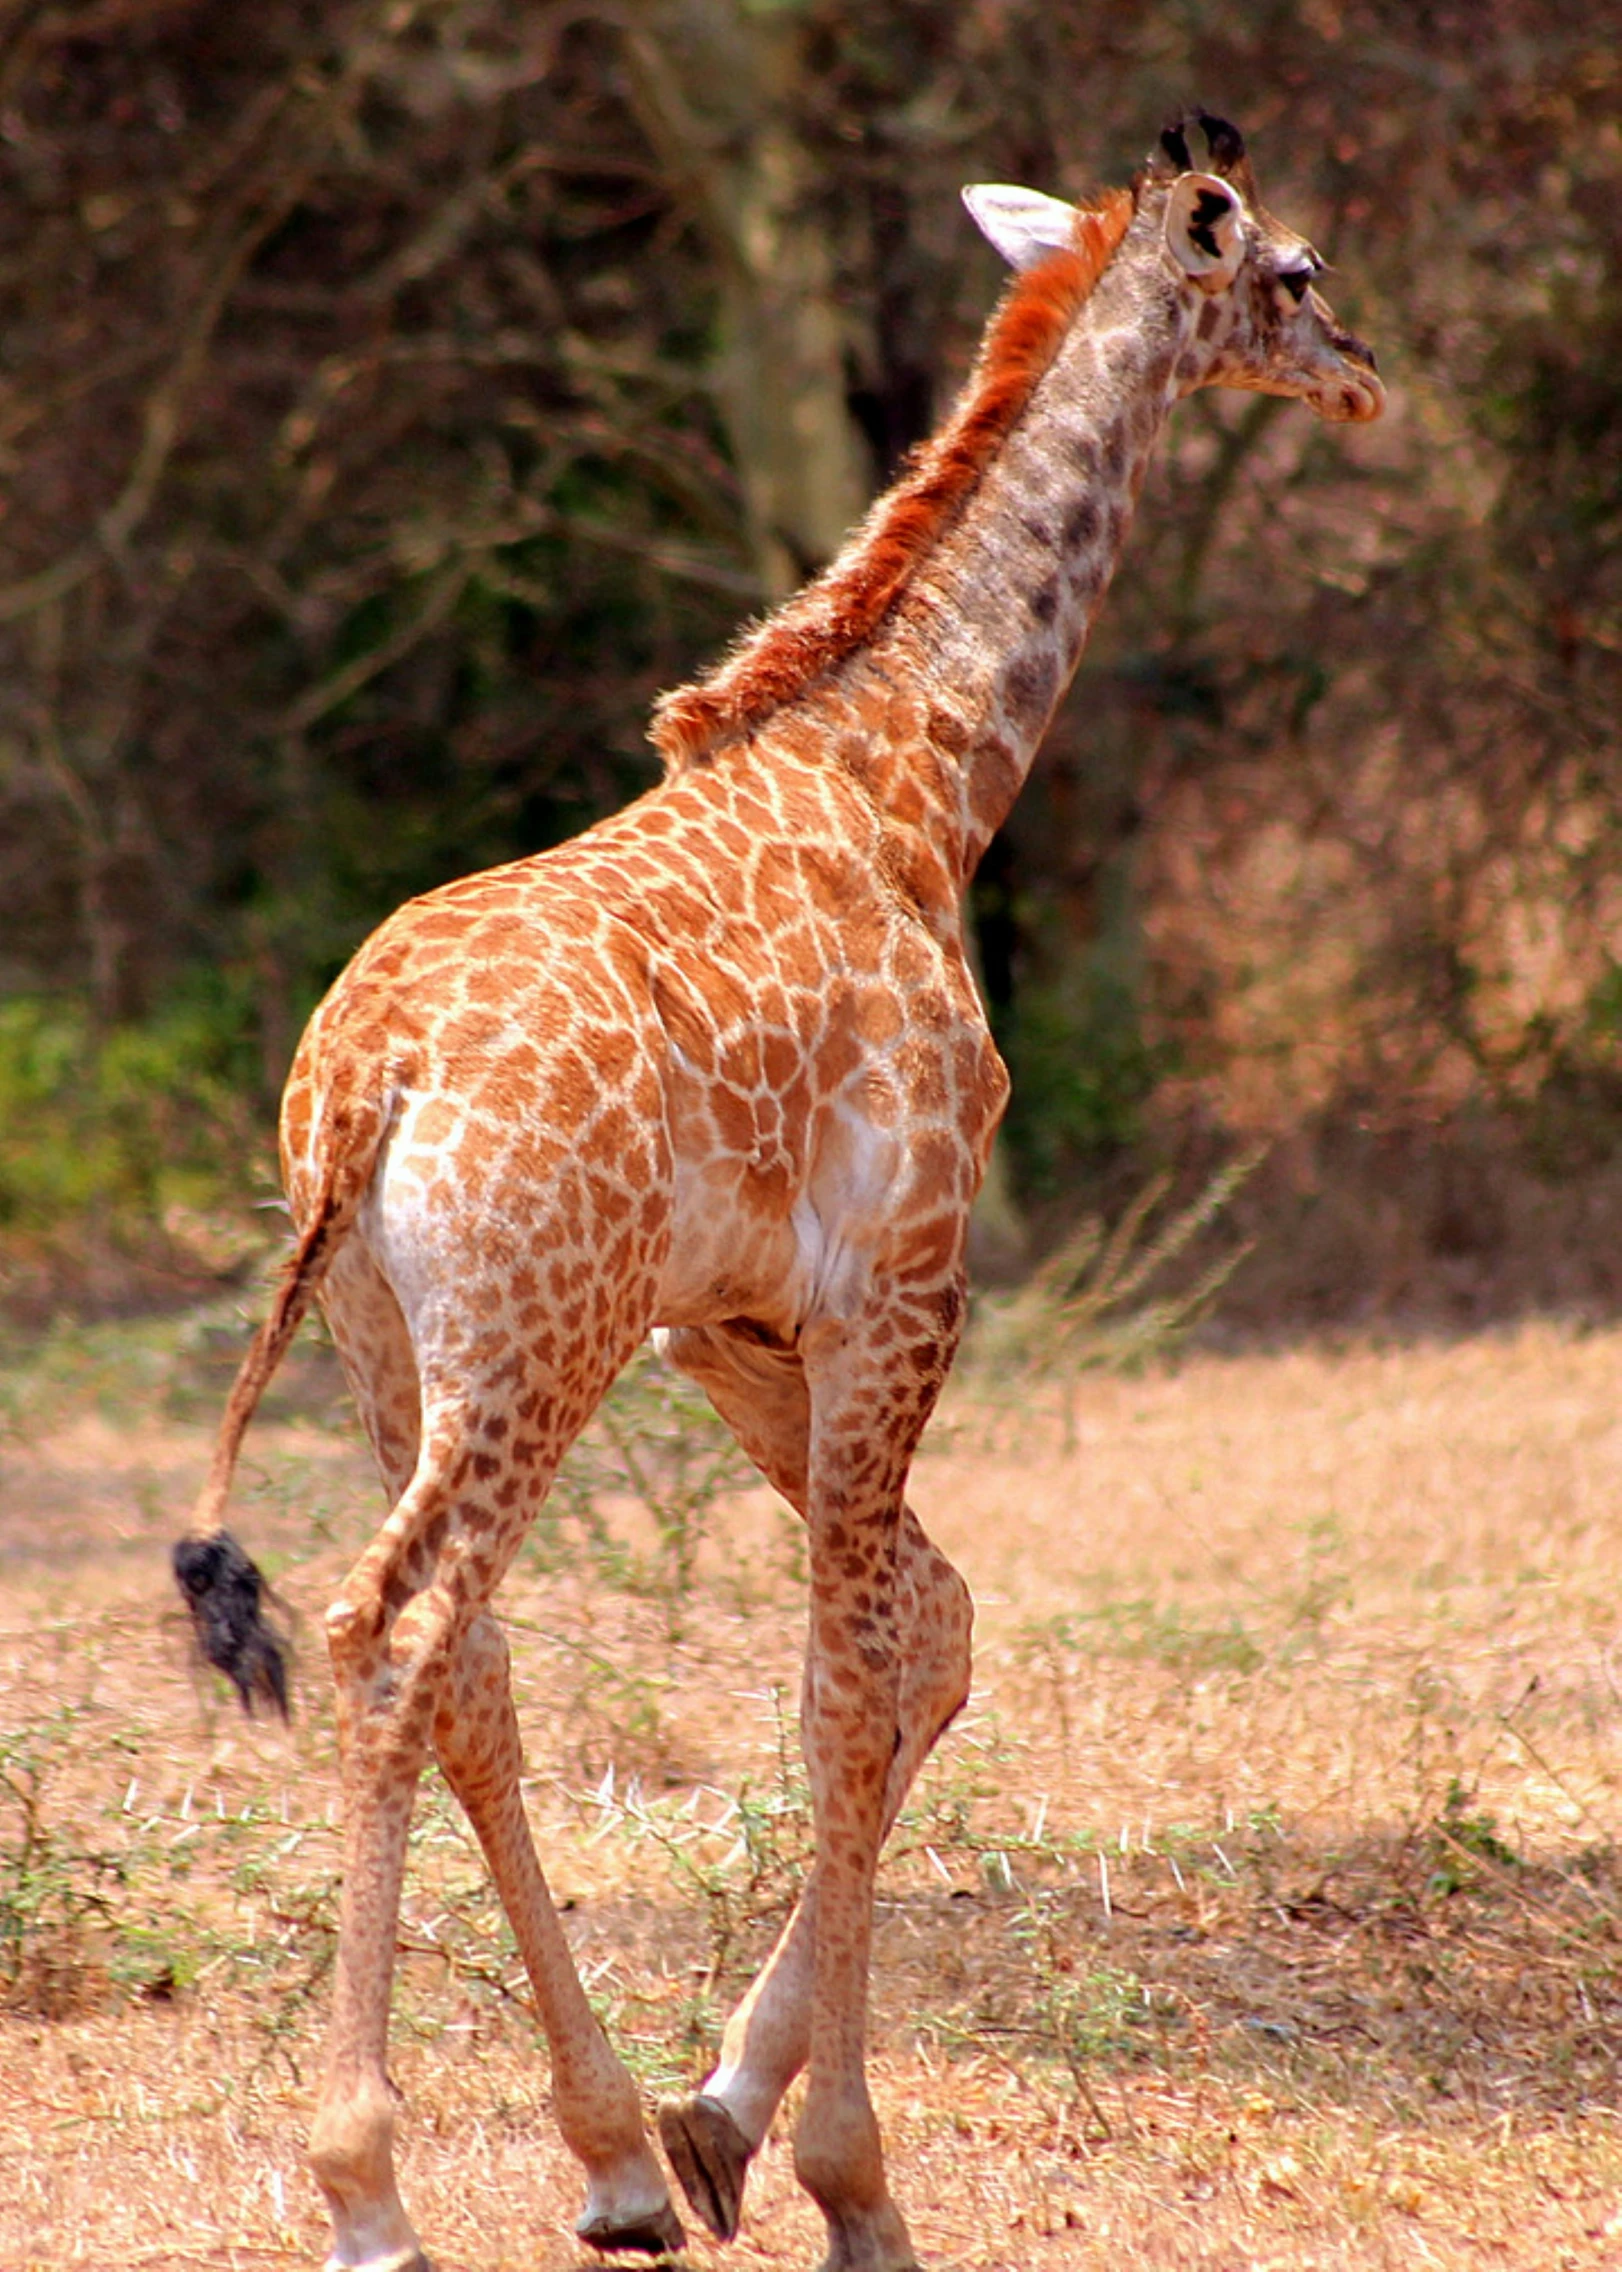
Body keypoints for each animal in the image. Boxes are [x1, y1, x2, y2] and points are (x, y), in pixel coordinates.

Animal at [173, 110, 1381, 2272]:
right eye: (1297, 272)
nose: (1369, 373)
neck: (917, 784)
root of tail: (361, 1082)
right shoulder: (900, 1280)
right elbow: (847, 1673)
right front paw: (842, 2169)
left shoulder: (736, 1324)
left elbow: (934, 1629)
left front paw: (713, 2115)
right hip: (532, 1350)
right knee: (396, 1630)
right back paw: (369, 2184)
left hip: (402, 1347)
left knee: (468, 1661)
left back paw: (603, 2157)